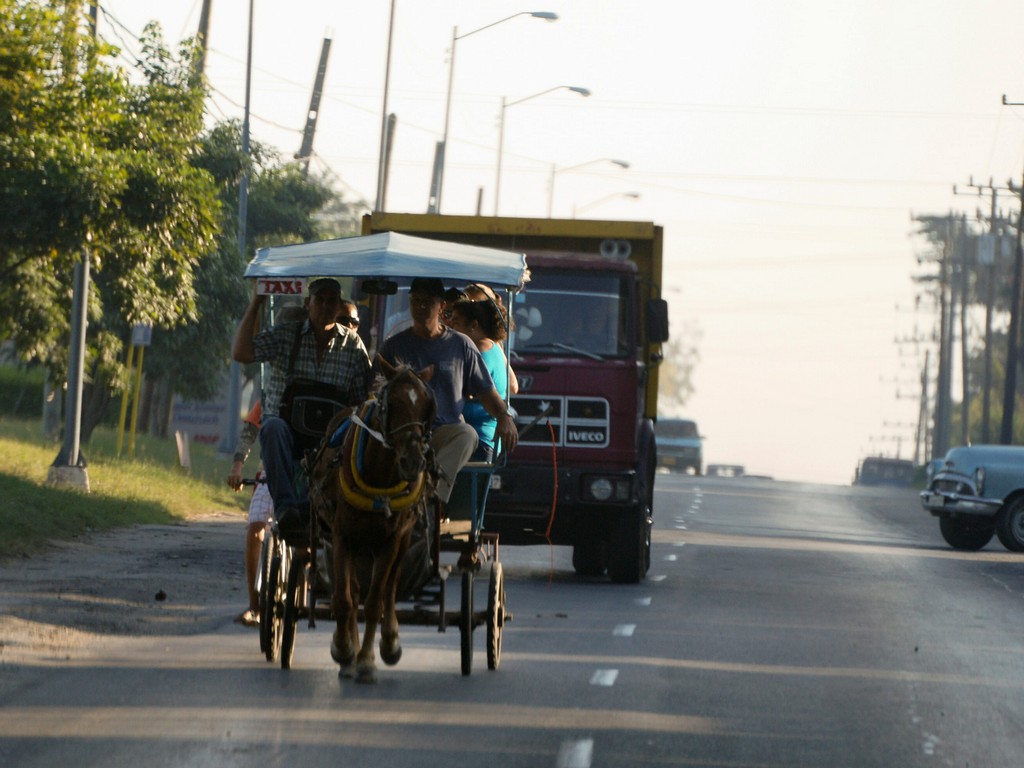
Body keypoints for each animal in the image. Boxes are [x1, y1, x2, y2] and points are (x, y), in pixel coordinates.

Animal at [307, 358, 436, 684]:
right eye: (392, 404)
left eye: (426, 405)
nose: (413, 462)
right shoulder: (342, 536)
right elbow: (344, 599)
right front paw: (344, 650)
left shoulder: (390, 541)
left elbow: (376, 601)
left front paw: (366, 660)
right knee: (353, 593)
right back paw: (348, 651)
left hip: (401, 539)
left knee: (389, 589)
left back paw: (389, 643)